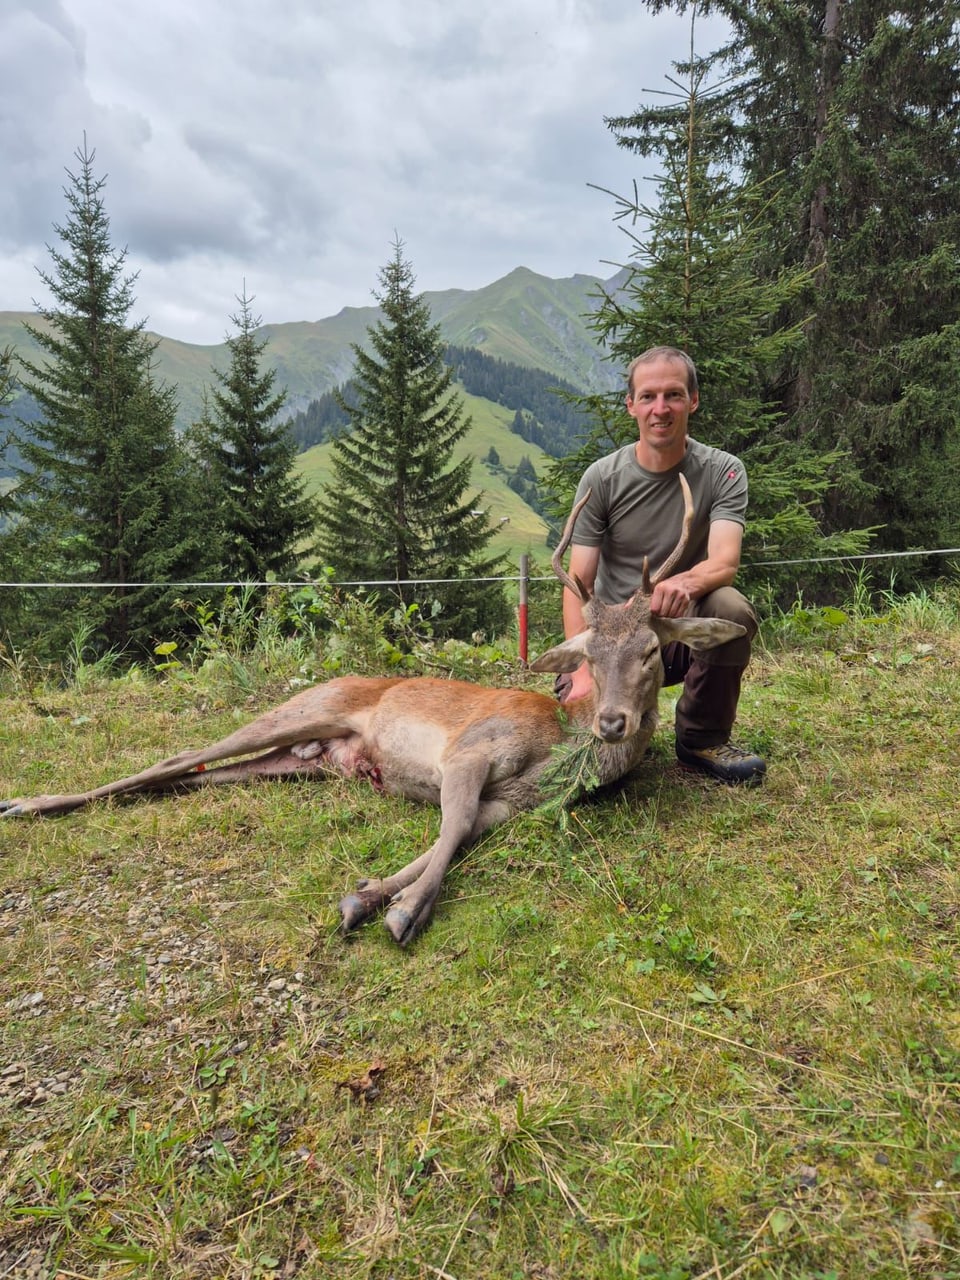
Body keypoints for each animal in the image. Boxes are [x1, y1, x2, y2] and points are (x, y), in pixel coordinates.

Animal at [1, 476, 742, 947]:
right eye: (589, 654)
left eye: (651, 650)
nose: (613, 722)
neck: (559, 756)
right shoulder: (473, 747)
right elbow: (452, 826)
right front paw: (404, 911)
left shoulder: (514, 804)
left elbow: (460, 832)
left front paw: (366, 894)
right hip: (309, 705)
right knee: (184, 753)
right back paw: (30, 803)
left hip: (305, 762)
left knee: (209, 771)